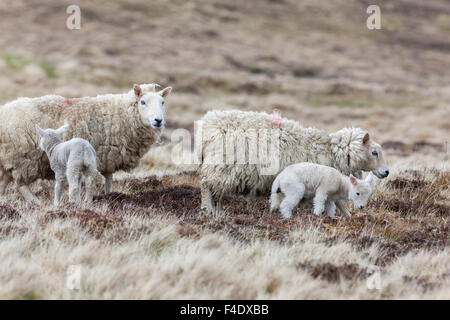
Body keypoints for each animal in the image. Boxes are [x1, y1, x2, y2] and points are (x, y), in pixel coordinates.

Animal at [0, 82, 172, 202]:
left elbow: (109, 181)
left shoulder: (108, 157)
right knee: (21, 185)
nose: (158, 120)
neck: (121, 114)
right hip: (23, 158)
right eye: (143, 102)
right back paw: (36, 203)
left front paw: (109, 196)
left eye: (163, 102)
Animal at [199, 110, 388, 215]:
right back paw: (207, 208)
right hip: (220, 164)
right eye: (374, 152)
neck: (332, 151)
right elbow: (336, 201)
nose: (387, 172)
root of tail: (208, 123)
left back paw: (216, 207)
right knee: (206, 184)